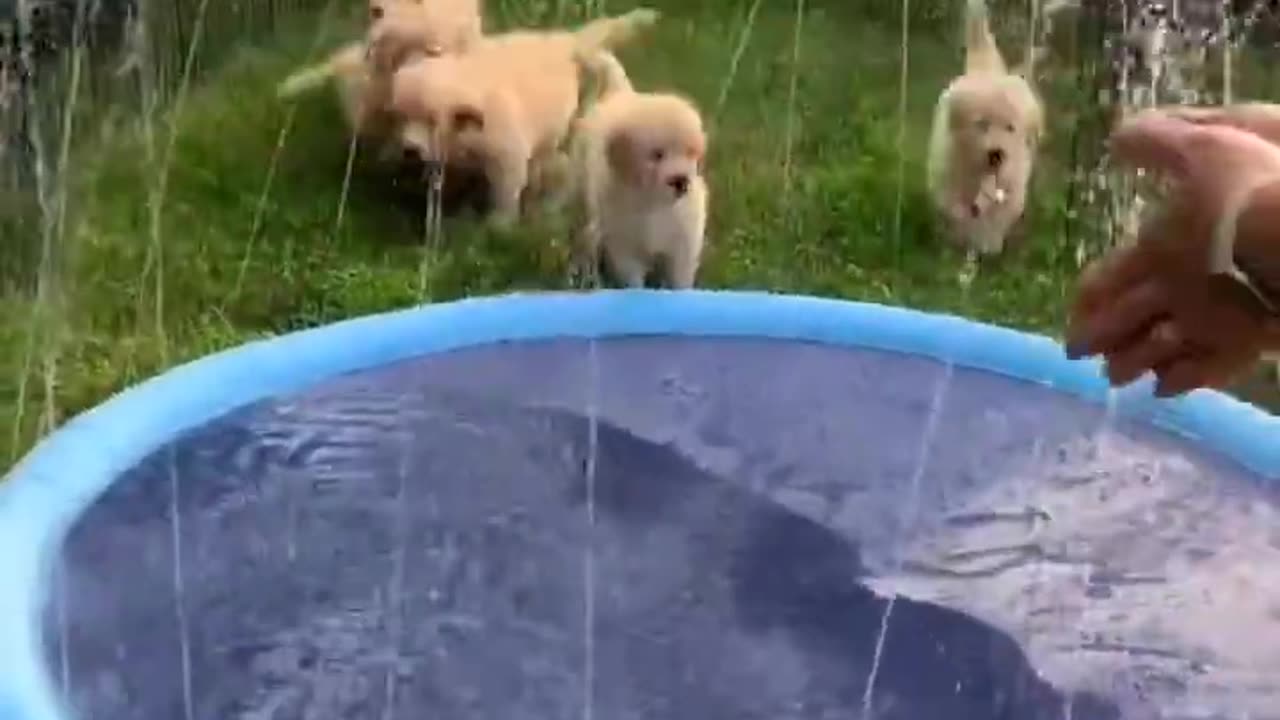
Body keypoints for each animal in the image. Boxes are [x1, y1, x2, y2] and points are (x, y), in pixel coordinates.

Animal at [389, 7, 660, 226]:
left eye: (432, 121)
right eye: (402, 116)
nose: (408, 150)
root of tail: (565, 40)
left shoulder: (507, 154)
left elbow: (505, 194)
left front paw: (497, 226)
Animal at [570, 49, 711, 288]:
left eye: (690, 153)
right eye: (656, 155)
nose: (681, 181)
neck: (653, 204)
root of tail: (620, 93)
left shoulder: (683, 242)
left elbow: (680, 278)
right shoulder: (624, 245)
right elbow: (634, 281)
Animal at [926, 0, 1044, 254]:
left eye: (1010, 128)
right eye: (981, 124)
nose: (996, 154)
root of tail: (986, 70)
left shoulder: (1012, 183)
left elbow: (998, 215)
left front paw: (987, 245)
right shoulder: (949, 172)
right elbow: (954, 208)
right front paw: (959, 238)